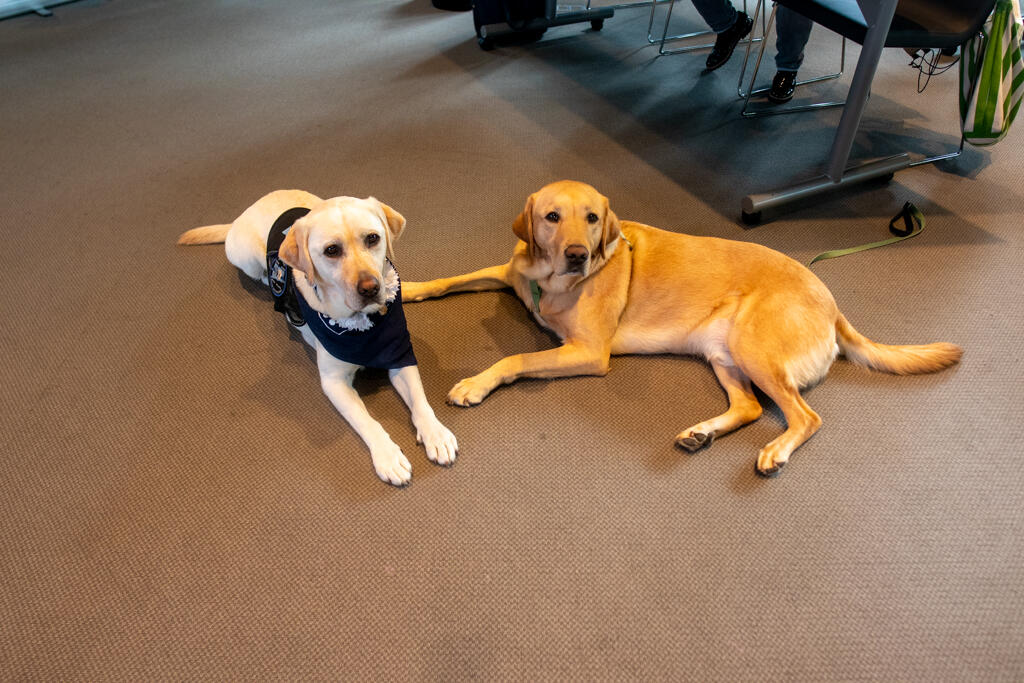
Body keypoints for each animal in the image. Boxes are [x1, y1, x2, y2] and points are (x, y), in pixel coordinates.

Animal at [178, 187, 458, 485]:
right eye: (331, 250)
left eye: (373, 238)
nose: (370, 288)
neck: (363, 325)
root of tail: (251, 207)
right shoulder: (334, 382)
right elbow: (366, 421)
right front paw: (388, 456)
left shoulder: (400, 356)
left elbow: (420, 401)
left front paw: (436, 434)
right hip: (245, 258)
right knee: (258, 273)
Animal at [401, 181, 958, 481]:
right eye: (552, 217)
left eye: (593, 218)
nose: (578, 254)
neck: (552, 282)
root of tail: (831, 302)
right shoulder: (508, 271)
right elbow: (453, 279)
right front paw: (407, 289)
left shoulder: (589, 351)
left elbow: (515, 359)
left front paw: (474, 384)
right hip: (724, 355)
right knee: (749, 407)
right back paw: (701, 433)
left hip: (753, 347)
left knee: (805, 416)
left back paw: (775, 450)